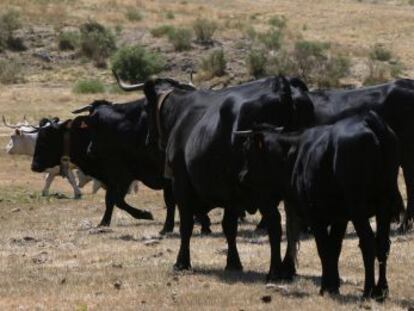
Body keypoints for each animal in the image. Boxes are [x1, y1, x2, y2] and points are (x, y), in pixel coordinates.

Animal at [239, 112, 402, 300]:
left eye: (246, 149)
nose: (241, 176)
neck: (294, 155)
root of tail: (370, 120)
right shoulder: (340, 218)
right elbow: (334, 248)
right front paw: (334, 286)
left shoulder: (315, 215)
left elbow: (324, 249)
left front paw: (325, 287)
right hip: (384, 206)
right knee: (383, 244)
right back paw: (381, 290)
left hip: (358, 209)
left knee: (368, 243)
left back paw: (368, 290)